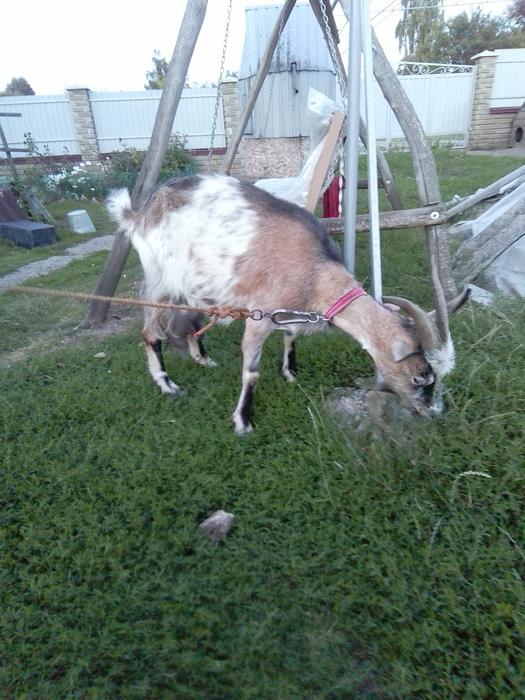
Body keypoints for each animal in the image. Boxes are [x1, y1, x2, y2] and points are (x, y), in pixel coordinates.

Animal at [107, 175, 467, 434]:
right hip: (160, 279)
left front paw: (290, 373)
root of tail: (141, 211)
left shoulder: (288, 312)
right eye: (421, 377)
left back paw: (202, 358)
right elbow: (251, 372)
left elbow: (291, 338)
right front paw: (243, 421)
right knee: (150, 333)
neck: (314, 270)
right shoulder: (259, 315)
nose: (433, 413)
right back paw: (167, 385)